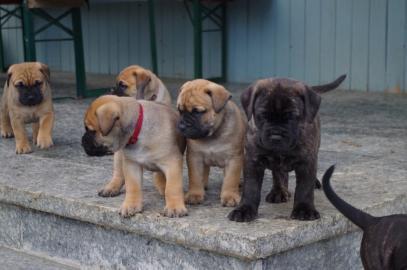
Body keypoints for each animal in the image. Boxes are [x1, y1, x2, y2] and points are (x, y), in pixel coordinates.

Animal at [228, 74, 346, 221]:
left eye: (291, 117)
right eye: (262, 116)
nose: (276, 135)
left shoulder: (307, 161)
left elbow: (304, 188)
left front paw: (304, 209)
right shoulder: (252, 160)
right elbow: (251, 188)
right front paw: (244, 209)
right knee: (278, 174)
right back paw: (278, 191)